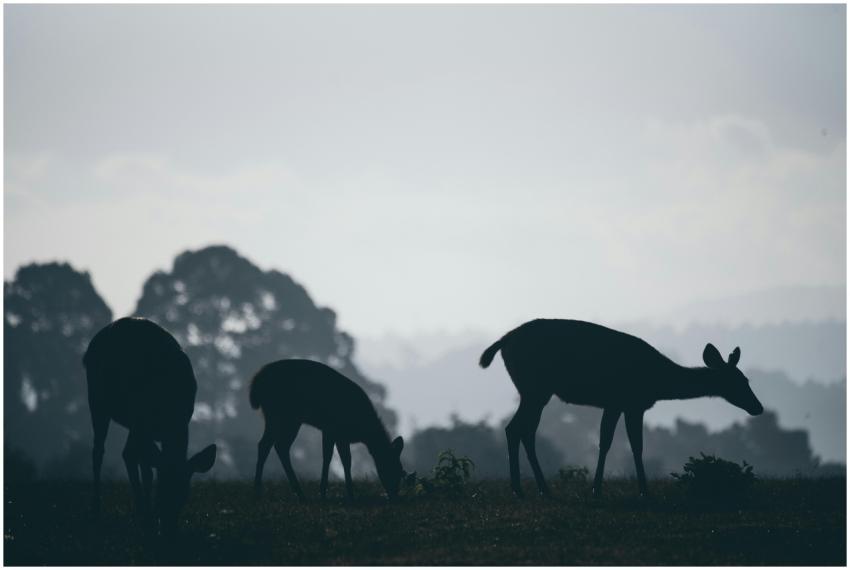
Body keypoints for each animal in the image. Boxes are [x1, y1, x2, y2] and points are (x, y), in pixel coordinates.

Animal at [84, 317, 217, 534]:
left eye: (185, 495)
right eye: (162, 492)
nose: (169, 528)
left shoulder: (147, 428)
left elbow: (146, 466)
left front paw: (149, 516)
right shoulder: (141, 420)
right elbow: (139, 463)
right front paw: (146, 517)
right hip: (98, 401)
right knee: (100, 451)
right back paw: (96, 509)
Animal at [250, 359, 406, 502]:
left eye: (400, 471)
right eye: (392, 469)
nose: (394, 495)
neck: (362, 430)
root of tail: (256, 382)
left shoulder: (330, 432)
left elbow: (330, 457)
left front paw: (326, 493)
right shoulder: (337, 431)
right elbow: (343, 460)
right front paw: (348, 495)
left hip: (276, 417)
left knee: (267, 445)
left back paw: (261, 492)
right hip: (285, 416)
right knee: (278, 446)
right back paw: (296, 493)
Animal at [479, 318, 764, 498]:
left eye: (747, 379)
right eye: (739, 381)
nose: (758, 407)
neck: (659, 383)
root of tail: (503, 341)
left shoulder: (619, 404)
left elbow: (610, 443)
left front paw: (600, 488)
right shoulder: (629, 402)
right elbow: (630, 445)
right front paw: (638, 490)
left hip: (535, 391)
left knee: (523, 430)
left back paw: (537, 487)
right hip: (535, 388)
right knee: (516, 429)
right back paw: (523, 489)